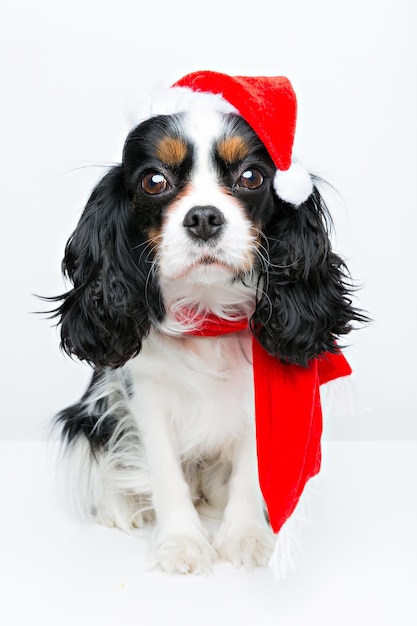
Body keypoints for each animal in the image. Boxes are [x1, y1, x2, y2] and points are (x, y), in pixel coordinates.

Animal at [47, 70, 362, 572]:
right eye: (154, 181)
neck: (209, 312)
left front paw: (246, 536)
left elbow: (251, 471)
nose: (203, 218)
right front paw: (181, 542)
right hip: (88, 420)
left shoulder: (258, 399)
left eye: (251, 176)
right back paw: (122, 509)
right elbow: (165, 474)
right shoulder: (145, 396)